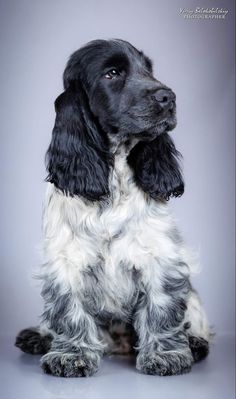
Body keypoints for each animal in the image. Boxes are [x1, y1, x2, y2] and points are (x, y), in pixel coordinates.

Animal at [14, 39, 210, 376]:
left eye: (148, 69)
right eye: (112, 73)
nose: (168, 97)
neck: (114, 176)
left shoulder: (160, 255)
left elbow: (161, 306)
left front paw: (165, 355)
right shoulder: (66, 259)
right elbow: (69, 311)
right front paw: (71, 355)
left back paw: (195, 344)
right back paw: (38, 336)